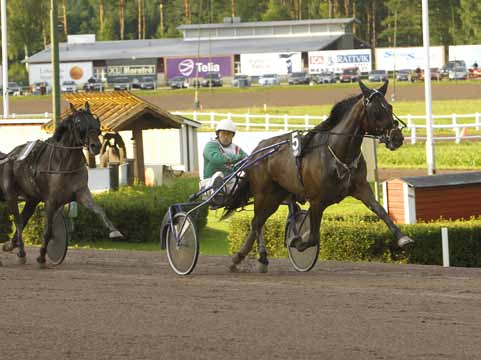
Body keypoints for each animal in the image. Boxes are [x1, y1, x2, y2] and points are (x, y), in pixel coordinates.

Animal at [0, 102, 123, 266]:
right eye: (78, 122)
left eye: (95, 121)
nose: (95, 145)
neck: (64, 163)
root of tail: (9, 156)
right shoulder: (51, 200)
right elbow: (48, 231)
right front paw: (41, 256)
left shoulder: (81, 193)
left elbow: (99, 210)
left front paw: (114, 231)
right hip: (10, 195)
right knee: (19, 222)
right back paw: (21, 253)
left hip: (32, 199)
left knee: (23, 219)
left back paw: (10, 245)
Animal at [224, 80, 412, 272]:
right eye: (376, 110)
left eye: (389, 106)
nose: (397, 137)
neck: (338, 153)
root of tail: (256, 151)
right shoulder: (316, 200)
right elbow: (313, 237)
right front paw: (297, 241)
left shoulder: (361, 187)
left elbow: (380, 210)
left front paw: (403, 238)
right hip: (263, 193)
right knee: (256, 223)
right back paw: (261, 258)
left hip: (277, 195)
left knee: (259, 222)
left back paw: (239, 258)